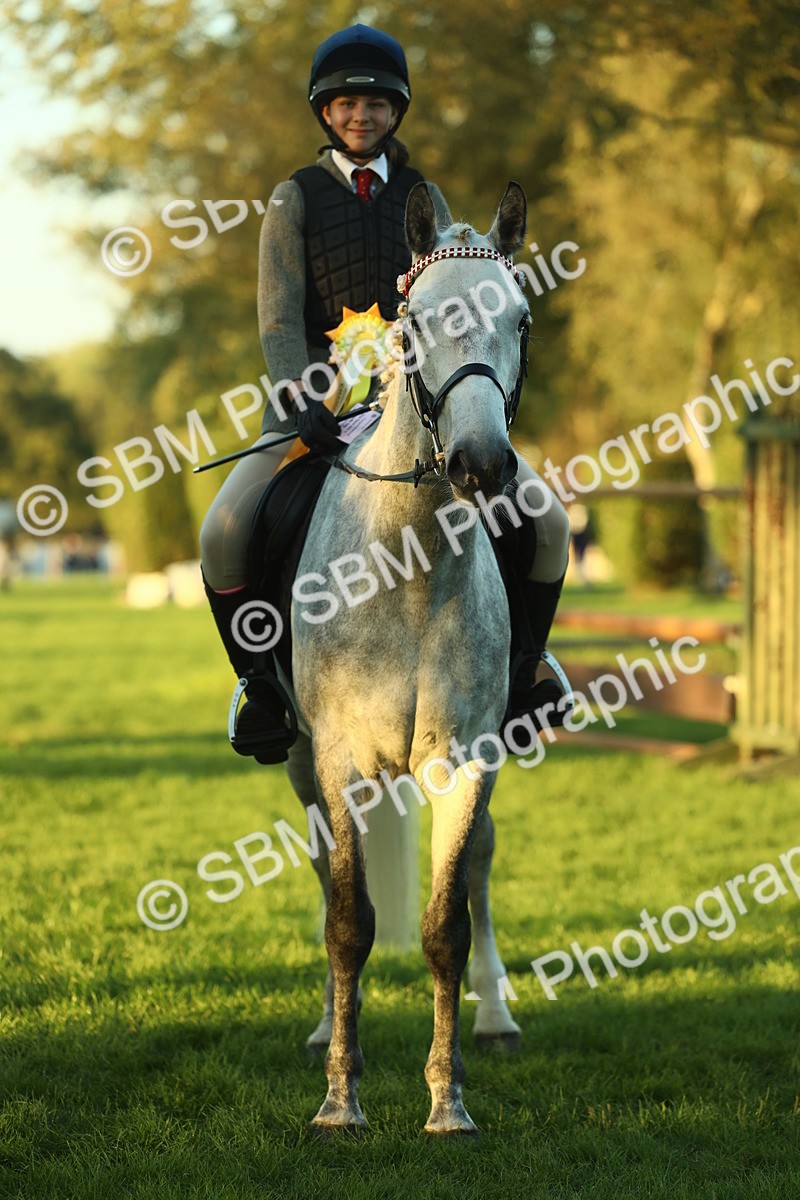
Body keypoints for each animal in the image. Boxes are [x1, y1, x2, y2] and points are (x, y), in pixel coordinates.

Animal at [283, 180, 531, 1136]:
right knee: (327, 880)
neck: (409, 570)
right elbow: (351, 922)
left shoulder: (466, 761)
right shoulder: (340, 759)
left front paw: (446, 1101)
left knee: (484, 867)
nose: (482, 463)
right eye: (416, 321)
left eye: (522, 318)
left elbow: (444, 926)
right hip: (300, 763)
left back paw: (497, 1017)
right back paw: (326, 1028)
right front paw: (340, 1100)